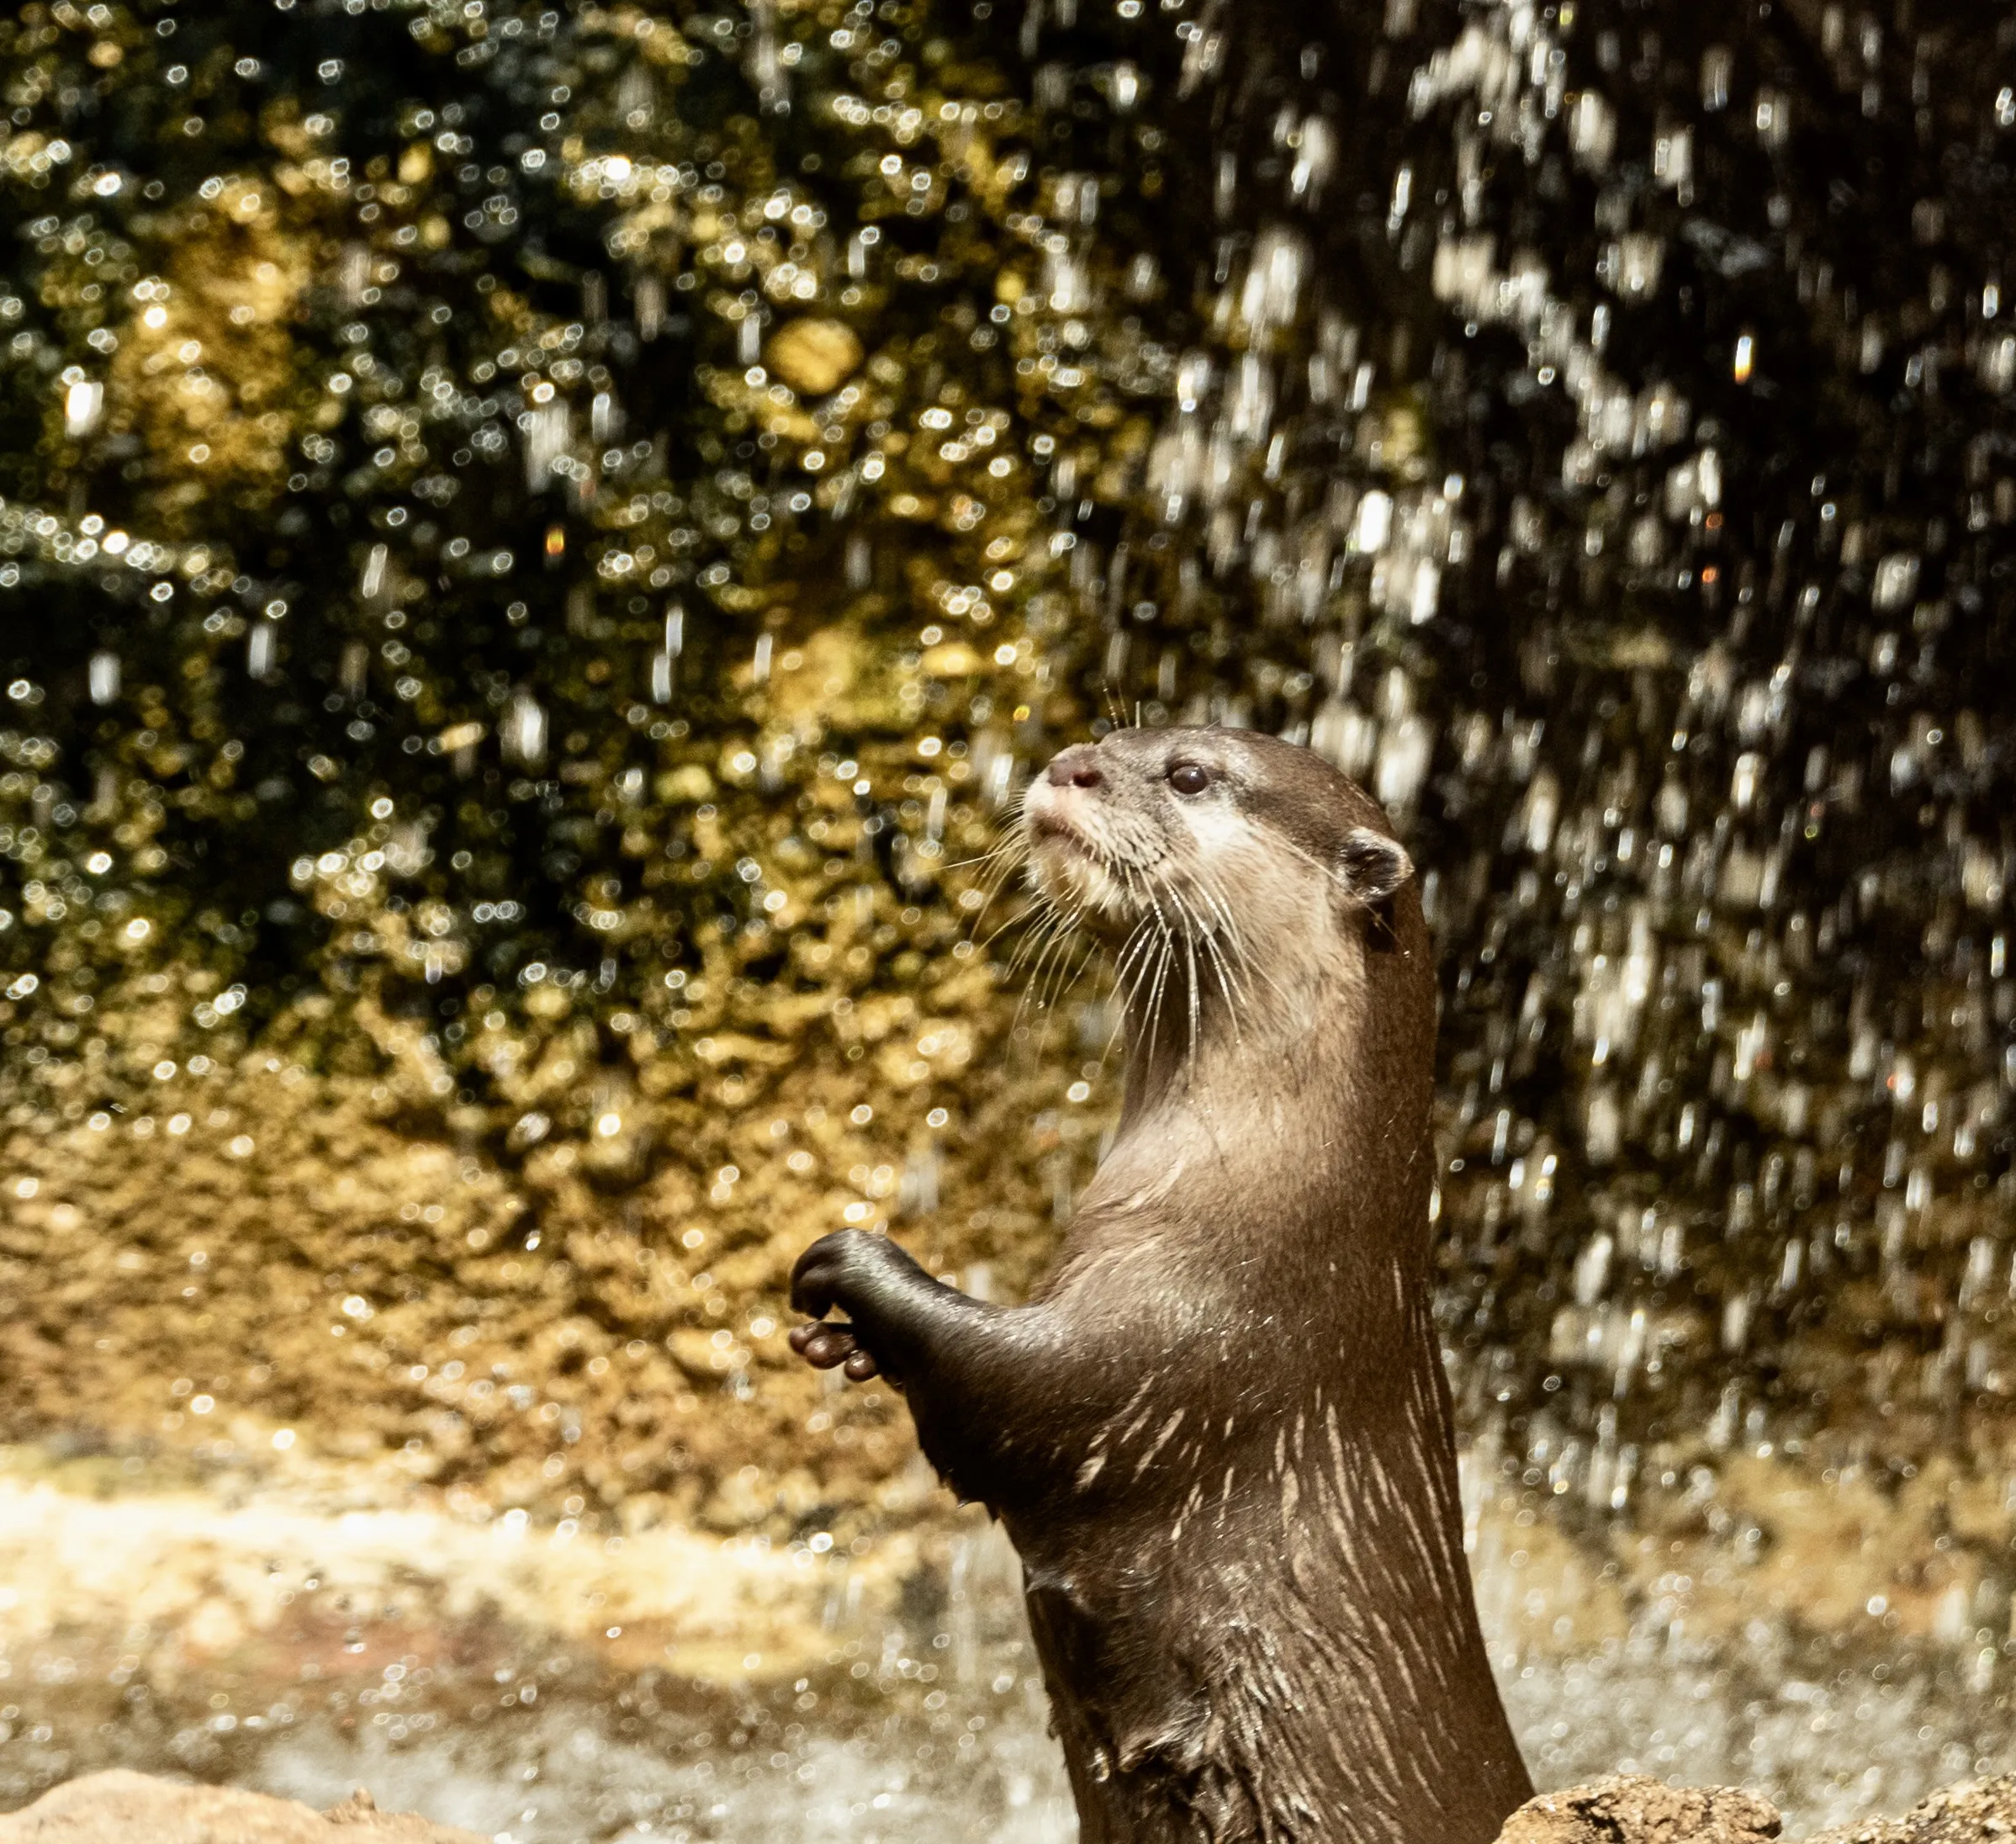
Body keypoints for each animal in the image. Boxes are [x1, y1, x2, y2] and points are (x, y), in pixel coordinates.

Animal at [788, 727, 1531, 1844]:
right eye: (1111, 736)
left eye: (1189, 773)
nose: (1071, 763)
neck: (1271, 1173)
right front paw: (840, 1346)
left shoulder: (1196, 1332)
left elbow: (1024, 1403)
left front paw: (857, 1268)